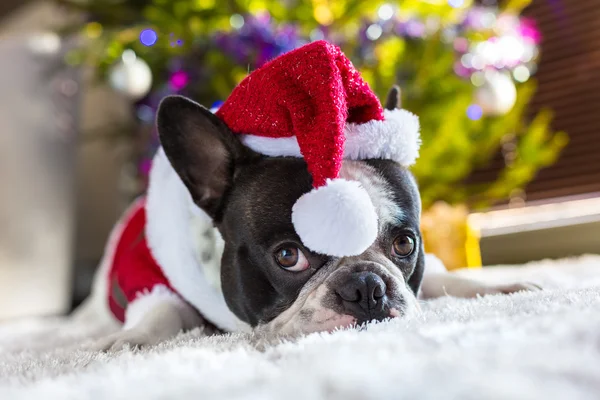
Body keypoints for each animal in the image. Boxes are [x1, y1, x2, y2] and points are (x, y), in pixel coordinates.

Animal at [83, 87, 540, 350]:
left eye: (405, 243)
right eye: (289, 256)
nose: (367, 287)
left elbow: (440, 279)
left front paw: (497, 286)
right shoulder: (147, 276)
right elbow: (160, 311)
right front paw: (130, 338)